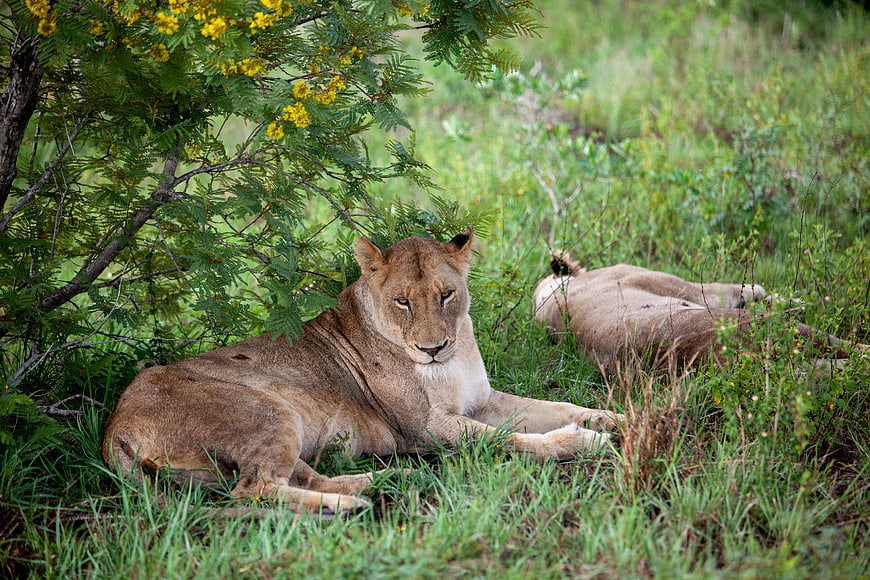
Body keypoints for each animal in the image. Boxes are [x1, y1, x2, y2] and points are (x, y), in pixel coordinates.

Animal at [103, 230, 623, 515]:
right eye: (402, 301)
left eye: (446, 295)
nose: (432, 348)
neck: (451, 360)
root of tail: (115, 427)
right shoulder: (425, 428)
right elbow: (507, 440)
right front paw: (584, 442)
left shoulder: (483, 400)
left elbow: (553, 406)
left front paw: (611, 419)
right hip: (264, 410)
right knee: (253, 491)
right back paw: (352, 505)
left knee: (284, 479)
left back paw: (376, 481)